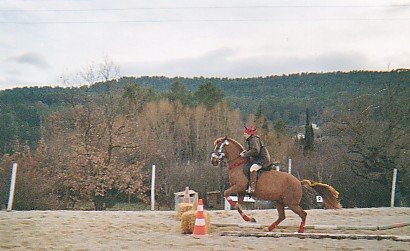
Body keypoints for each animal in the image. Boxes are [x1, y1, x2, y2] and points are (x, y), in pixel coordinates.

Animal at [210, 136, 342, 232]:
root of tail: (298, 182)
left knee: (303, 214)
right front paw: (250, 219)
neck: (238, 164)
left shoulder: (239, 187)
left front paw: (243, 213)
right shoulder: (241, 191)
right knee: (282, 216)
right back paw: (268, 228)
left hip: (291, 203)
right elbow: (238, 206)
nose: (213, 161)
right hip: (280, 201)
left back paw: (300, 231)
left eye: (218, 147)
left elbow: (227, 195)